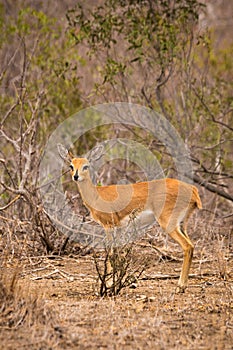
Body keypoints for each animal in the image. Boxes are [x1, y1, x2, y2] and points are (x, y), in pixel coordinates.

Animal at [58, 145, 202, 292]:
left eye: (86, 166)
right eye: (71, 165)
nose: (76, 176)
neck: (97, 195)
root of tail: (193, 190)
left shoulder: (108, 225)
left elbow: (110, 253)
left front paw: (108, 284)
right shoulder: (119, 227)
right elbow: (116, 252)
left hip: (168, 223)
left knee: (188, 246)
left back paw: (180, 286)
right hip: (182, 224)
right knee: (191, 246)